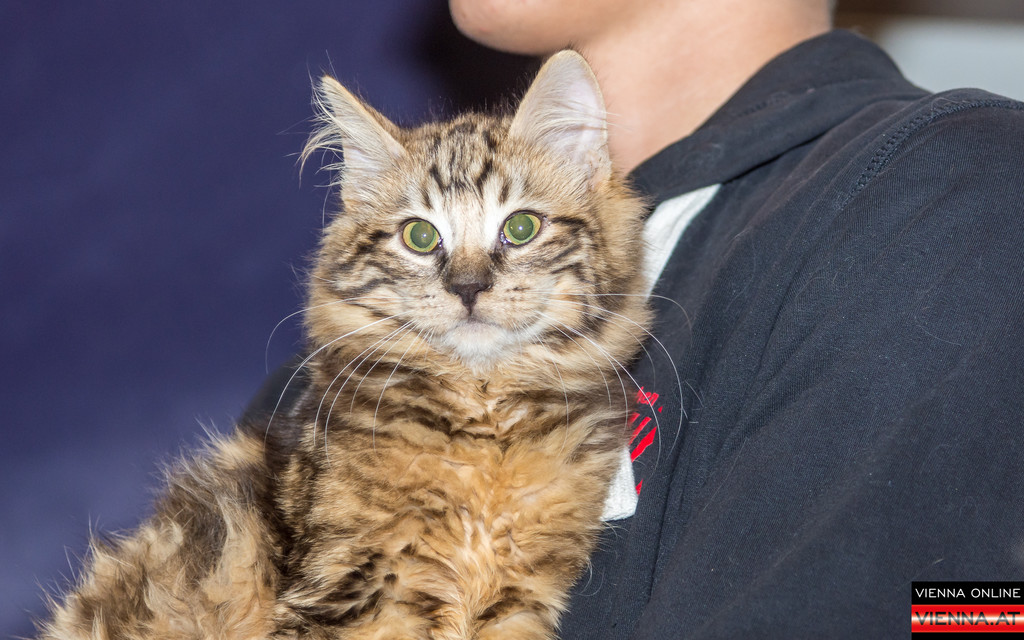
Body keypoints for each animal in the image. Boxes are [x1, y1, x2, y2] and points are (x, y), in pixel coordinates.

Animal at [37, 50, 651, 640]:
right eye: (420, 237)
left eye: (521, 229)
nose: (468, 287)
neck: (484, 414)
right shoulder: (360, 584)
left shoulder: (520, 593)